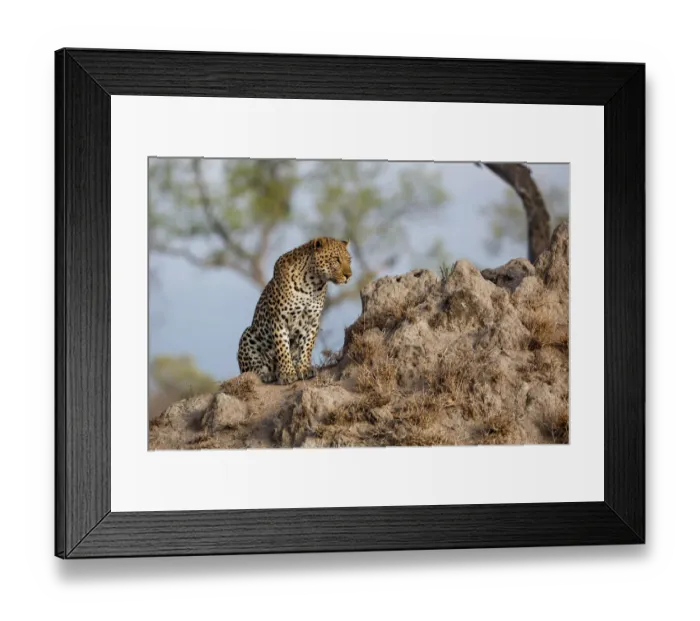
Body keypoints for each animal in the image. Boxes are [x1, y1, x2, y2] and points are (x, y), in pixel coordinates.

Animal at [237, 237, 352, 385]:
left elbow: (307, 346)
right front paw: (287, 374)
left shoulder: (312, 320)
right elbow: (282, 348)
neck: (312, 283)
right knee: (250, 370)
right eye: (336, 259)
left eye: (349, 260)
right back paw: (267, 374)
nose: (349, 275)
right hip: (248, 335)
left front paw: (303, 369)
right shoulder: (279, 320)